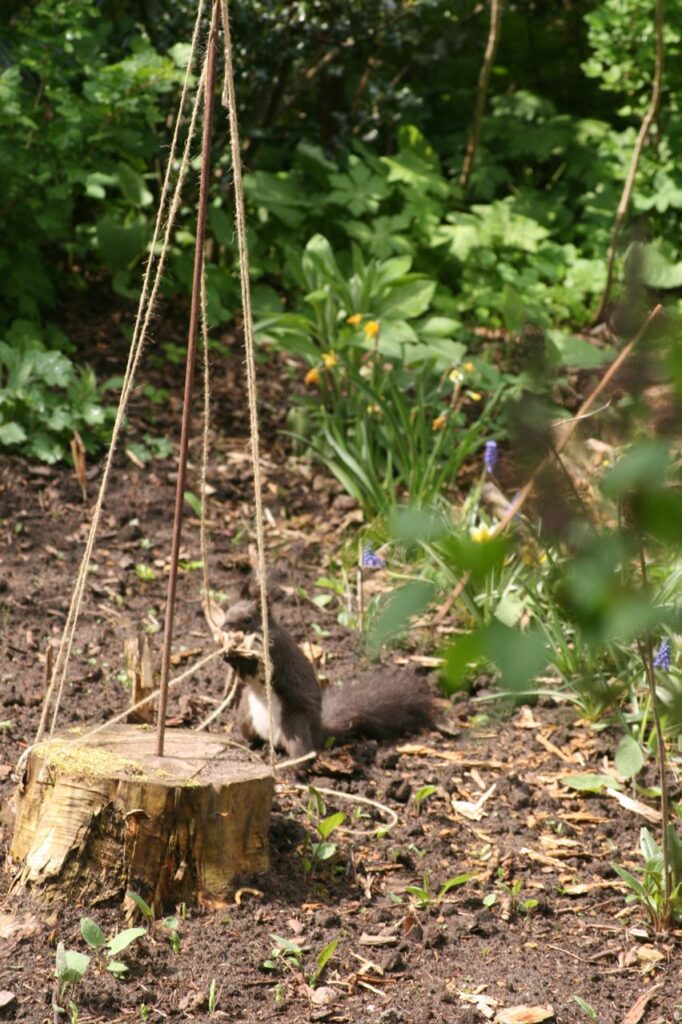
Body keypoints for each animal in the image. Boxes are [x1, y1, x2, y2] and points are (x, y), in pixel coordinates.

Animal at [222, 592, 435, 760]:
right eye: (227, 612)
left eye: (247, 619)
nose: (225, 626)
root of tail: (317, 732)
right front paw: (227, 653)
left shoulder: (276, 650)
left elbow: (264, 669)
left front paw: (237, 654)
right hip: (245, 713)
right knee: (251, 736)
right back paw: (240, 741)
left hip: (294, 722)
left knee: (303, 752)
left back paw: (290, 769)